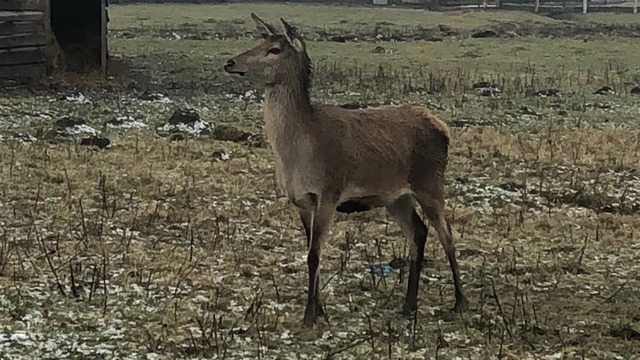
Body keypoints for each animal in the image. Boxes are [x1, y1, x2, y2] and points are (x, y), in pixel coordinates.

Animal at [225, 14, 470, 330]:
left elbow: (314, 255)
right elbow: (310, 252)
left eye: (275, 50)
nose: (230, 62)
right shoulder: (301, 201)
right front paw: (320, 310)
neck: (298, 152)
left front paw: (309, 317)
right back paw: (408, 305)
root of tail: (444, 128)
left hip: (430, 181)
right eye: (260, 41)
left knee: (447, 234)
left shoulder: (329, 192)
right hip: (396, 196)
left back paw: (460, 301)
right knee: (418, 231)